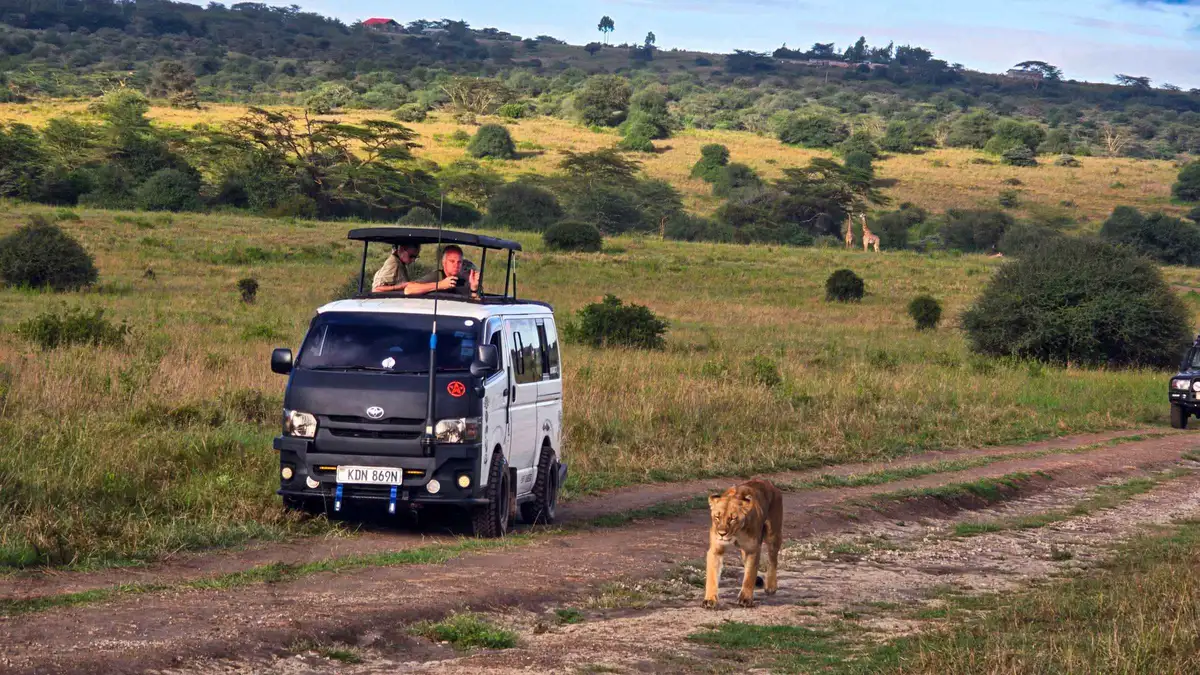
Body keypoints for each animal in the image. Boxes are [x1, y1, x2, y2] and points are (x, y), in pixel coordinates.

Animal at [703, 477, 783, 609]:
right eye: (717, 517)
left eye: (732, 518)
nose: (722, 533)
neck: (736, 533)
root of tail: (766, 481)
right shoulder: (716, 550)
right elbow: (712, 577)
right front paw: (710, 599)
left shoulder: (752, 549)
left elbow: (749, 576)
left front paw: (745, 599)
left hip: (773, 534)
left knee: (773, 560)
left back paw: (771, 586)